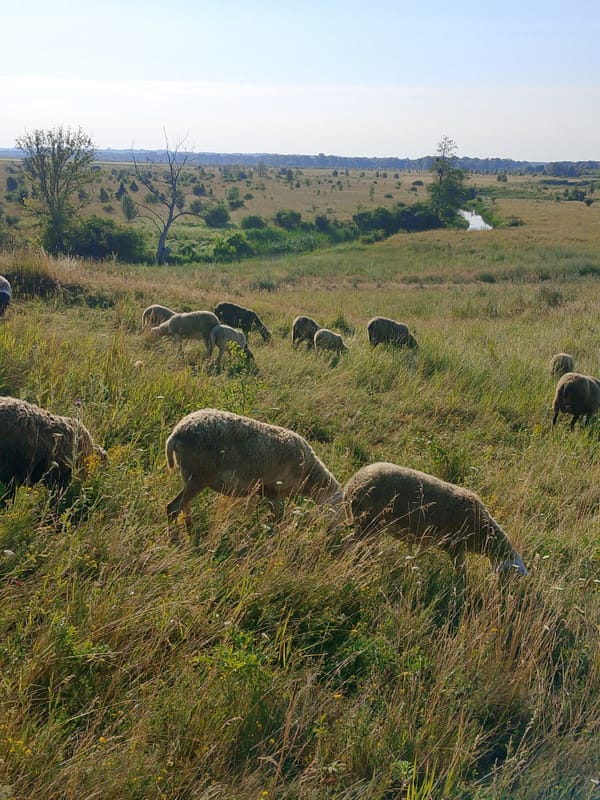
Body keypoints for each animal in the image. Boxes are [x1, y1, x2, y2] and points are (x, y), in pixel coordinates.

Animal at [165, 408, 342, 530]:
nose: (336, 531)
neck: (309, 474)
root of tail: (176, 433)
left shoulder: (260, 491)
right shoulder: (273, 490)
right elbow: (277, 518)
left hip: (191, 476)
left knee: (183, 506)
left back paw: (190, 529)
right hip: (198, 475)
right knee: (173, 508)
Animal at [343, 462, 528, 576]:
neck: (481, 532)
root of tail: (351, 484)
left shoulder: (429, 539)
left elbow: (419, 554)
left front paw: (409, 564)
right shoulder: (456, 546)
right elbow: (461, 571)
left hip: (372, 524)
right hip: (369, 522)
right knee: (347, 542)